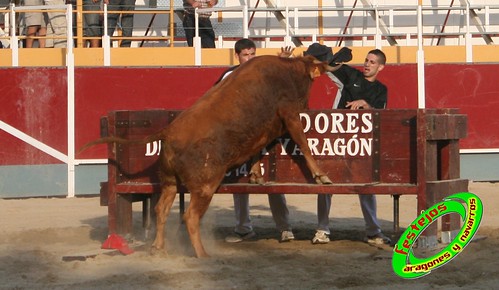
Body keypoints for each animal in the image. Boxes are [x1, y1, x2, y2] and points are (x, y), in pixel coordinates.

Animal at [83, 55, 340, 258]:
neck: (290, 71)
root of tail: (168, 132)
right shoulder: (290, 116)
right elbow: (303, 144)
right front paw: (321, 176)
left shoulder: (265, 128)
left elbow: (258, 149)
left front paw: (256, 175)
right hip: (205, 186)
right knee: (190, 217)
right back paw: (202, 254)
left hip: (169, 182)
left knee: (161, 210)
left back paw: (158, 247)